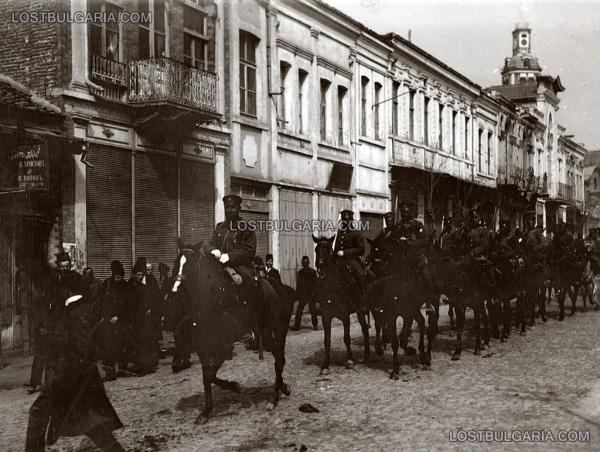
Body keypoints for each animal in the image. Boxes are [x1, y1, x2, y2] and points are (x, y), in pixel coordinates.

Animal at [170, 240, 292, 424]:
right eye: (177, 263)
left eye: (189, 265)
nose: (175, 290)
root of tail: (275, 285)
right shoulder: (203, 347)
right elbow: (208, 374)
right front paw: (210, 406)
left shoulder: (225, 346)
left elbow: (209, 374)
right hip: (266, 338)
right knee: (278, 358)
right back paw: (282, 387)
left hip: (277, 332)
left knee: (279, 361)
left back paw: (273, 398)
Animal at [312, 235, 372, 376]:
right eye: (316, 249)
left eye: (328, 250)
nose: (320, 265)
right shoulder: (326, 316)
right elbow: (327, 340)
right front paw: (325, 365)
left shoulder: (345, 315)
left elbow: (346, 337)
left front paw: (349, 359)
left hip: (362, 310)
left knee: (365, 328)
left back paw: (367, 355)